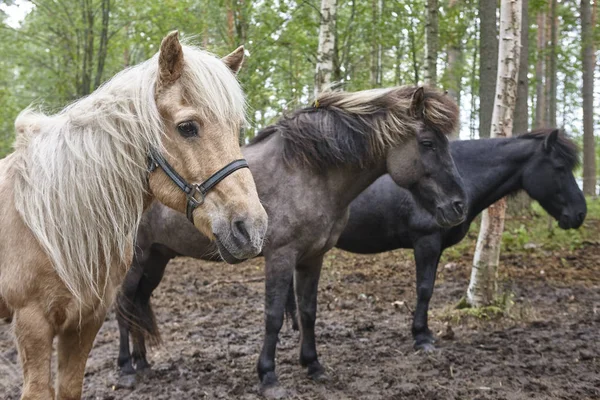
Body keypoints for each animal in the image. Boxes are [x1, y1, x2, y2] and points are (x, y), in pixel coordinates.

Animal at [0, 32, 268, 400]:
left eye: (237, 128)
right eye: (187, 127)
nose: (251, 229)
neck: (52, 221)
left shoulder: (85, 322)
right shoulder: (32, 325)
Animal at [115, 85, 466, 396]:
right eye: (427, 143)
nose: (458, 206)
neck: (310, 172)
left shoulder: (313, 257)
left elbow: (308, 311)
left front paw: (313, 365)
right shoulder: (281, 257)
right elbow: (273, 317)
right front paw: (268, 376)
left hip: (157, 257)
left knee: (138, 304)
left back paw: (143, 363)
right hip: (136, 260)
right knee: (123, 305)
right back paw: (126, 370)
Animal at [336, 128, 588, 350]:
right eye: (560, 167)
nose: (580, 213)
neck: (461, 176)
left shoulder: (437, 248)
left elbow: (429, 288)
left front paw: (426, 333)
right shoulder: (426, 242)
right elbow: (424, 289)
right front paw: (421, 338)